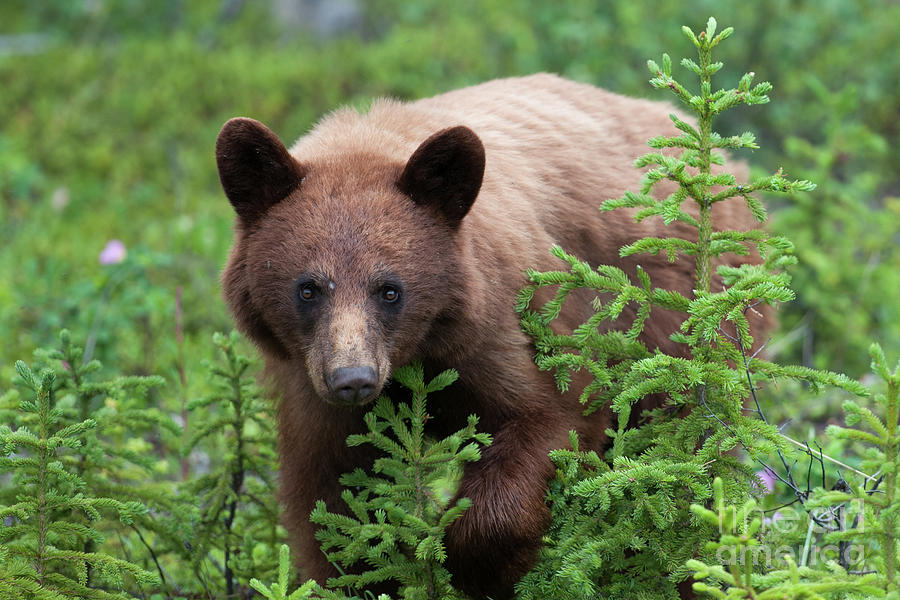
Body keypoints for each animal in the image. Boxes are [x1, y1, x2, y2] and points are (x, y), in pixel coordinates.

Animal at [216, 73, 769, 599]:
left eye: (390, 290)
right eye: (308, 288)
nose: (353, 378)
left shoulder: (506, 322)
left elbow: (553, 415)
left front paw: (477, 563)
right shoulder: (309, 386)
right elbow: (334, 505)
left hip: (685, 331)